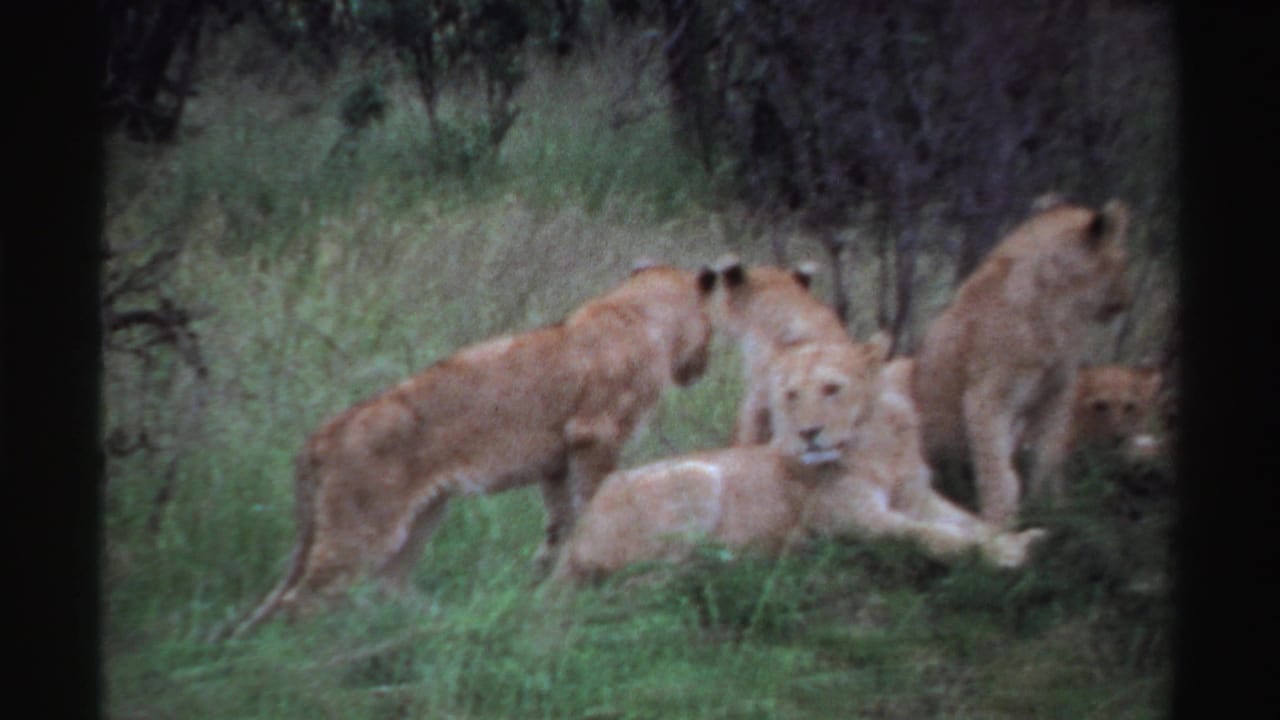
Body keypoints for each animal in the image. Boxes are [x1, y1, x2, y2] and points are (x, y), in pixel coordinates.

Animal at [223, 263, 719, 638]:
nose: (703, 367)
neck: (637, 310)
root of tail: (321, 435)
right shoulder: (597, 435)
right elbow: (595, 500)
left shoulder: (556, 463)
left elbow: (559, 525)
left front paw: (544, 578)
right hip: (362, 528)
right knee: (303, 600)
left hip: (423, 515)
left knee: (386, 584)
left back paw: (433, 623)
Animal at [550, 339, 1045, 585]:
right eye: (790, 395)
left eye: (831, 388)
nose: (808, 433)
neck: (876, 444)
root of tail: (574, 539)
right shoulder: (853, 520)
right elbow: (929, 535)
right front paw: (1004, 555)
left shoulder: (918, 496)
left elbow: (971, 522)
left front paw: (1020, 538)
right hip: (697, 475)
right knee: (653, 574)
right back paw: (748, 558)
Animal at [912, 198, 1133, 528]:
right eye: (1125, 260)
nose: (1129, 299)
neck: (1062, 312)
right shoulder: (986, 398)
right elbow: (997, 470)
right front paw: (999, 524)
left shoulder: (1057, 393)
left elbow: (1047, 455)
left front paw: (1052, 508)